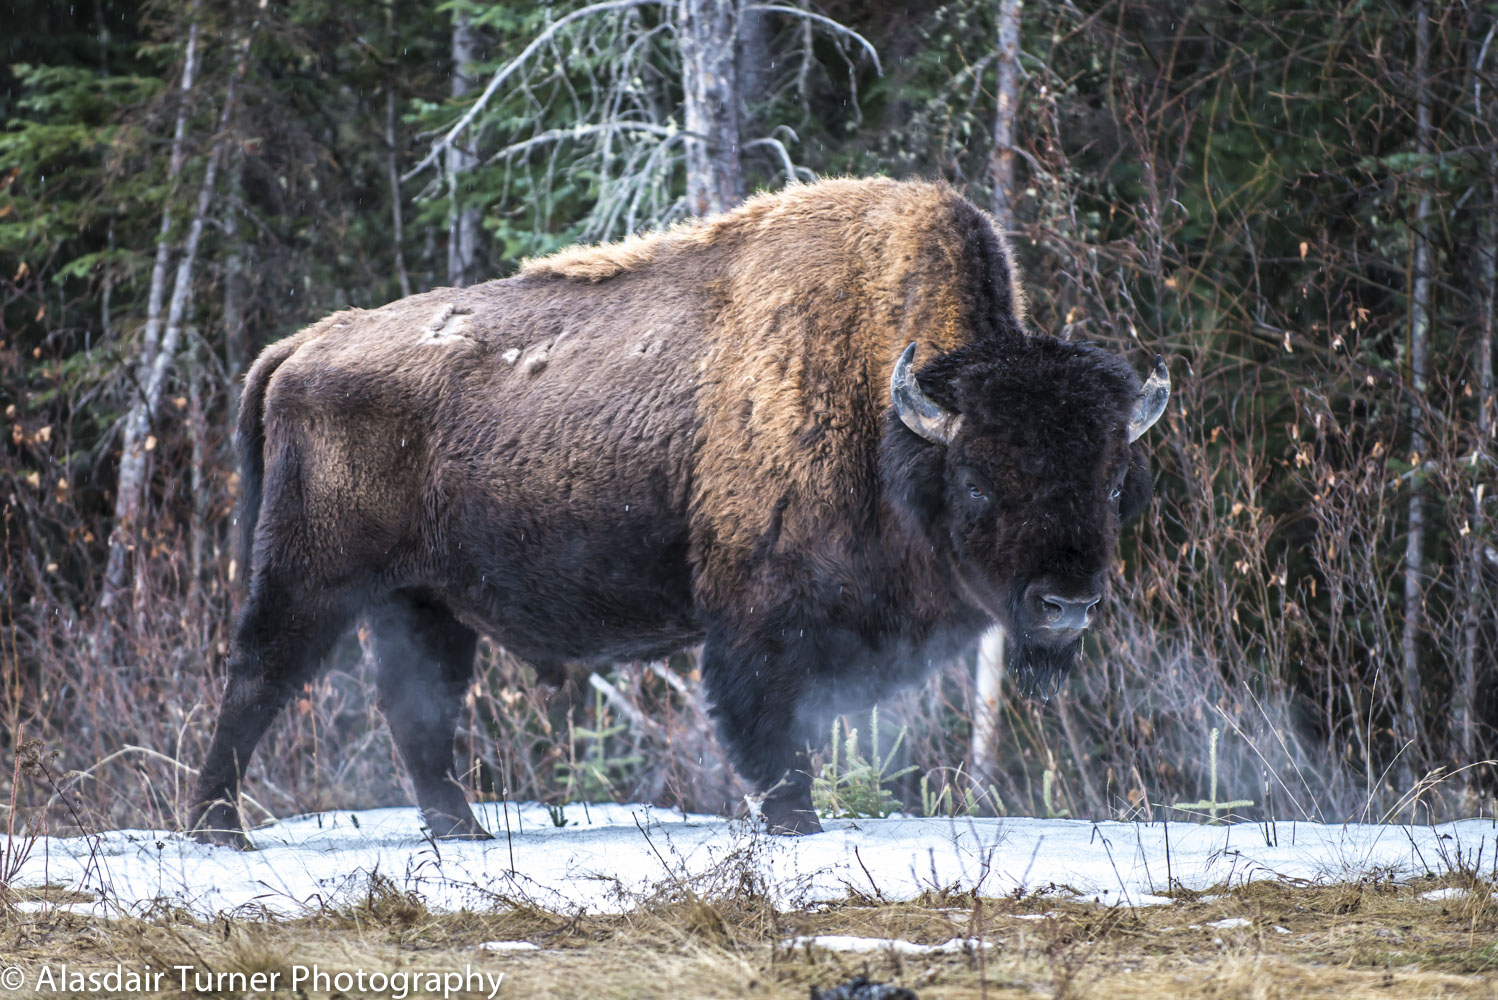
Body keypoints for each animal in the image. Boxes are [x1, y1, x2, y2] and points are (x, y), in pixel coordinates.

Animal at [187, 179, 1168, 844]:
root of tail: (304, 343)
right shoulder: (758, 616)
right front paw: (797, 824)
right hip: (312, 578)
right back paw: (218, 829)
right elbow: (769, 727)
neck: (885, 406)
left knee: (417, 708)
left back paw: (460, 828)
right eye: (978, 479)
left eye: (1112, 476)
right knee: (259, 675)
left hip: (418, 601)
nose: (1066, 603)